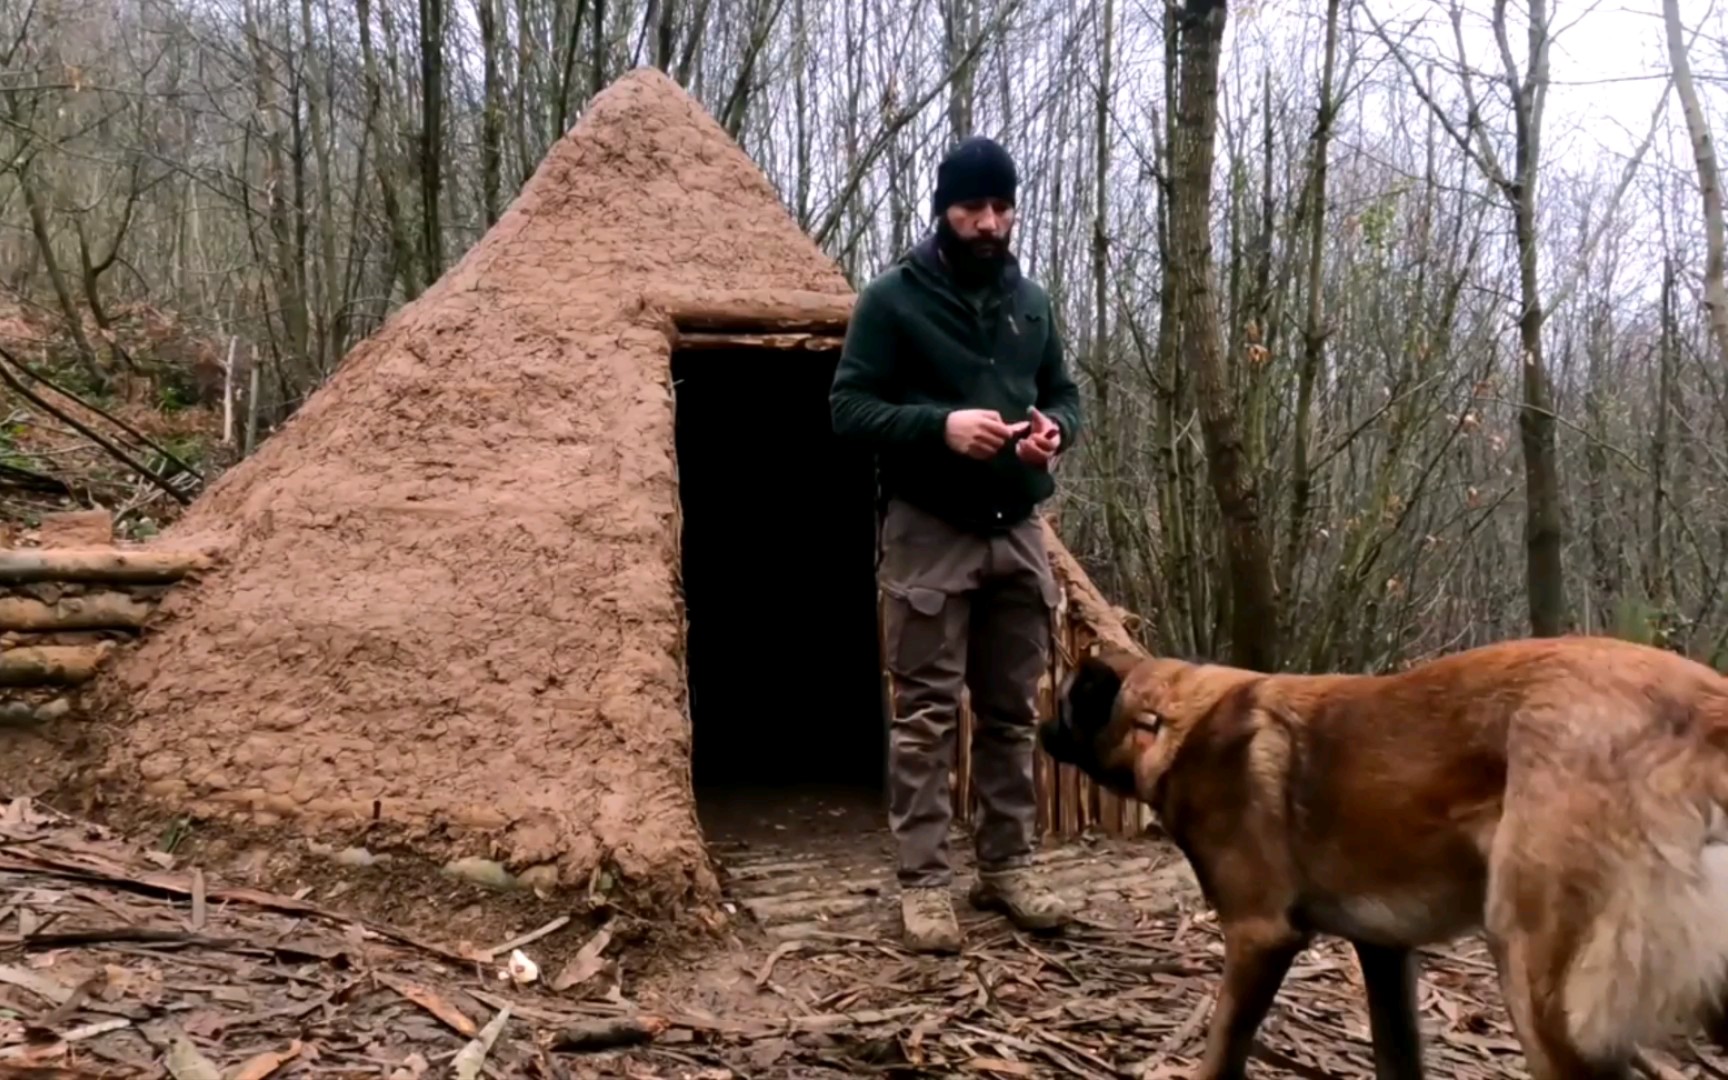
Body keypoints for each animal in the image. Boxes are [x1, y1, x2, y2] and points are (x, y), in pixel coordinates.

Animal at [1029, 632, 1728, 1078]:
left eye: (1062, 702)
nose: (1037, 728)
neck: (1166, 720)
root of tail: (1705, 705)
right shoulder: (1384, 951)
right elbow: (1397, 1059)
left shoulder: (1260, 936)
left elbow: (1222, 1052)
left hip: (1541, 982)